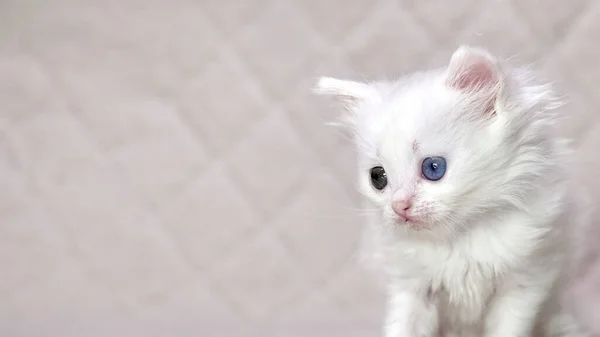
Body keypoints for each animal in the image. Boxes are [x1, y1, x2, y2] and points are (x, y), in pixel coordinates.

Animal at [314, 45, 592, 336]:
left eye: (434, 168)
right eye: (377, 178)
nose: (399, 206)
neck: (458, 238)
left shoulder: (525, 280)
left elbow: (508, 327)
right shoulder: (409, 287)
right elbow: (401, 327)